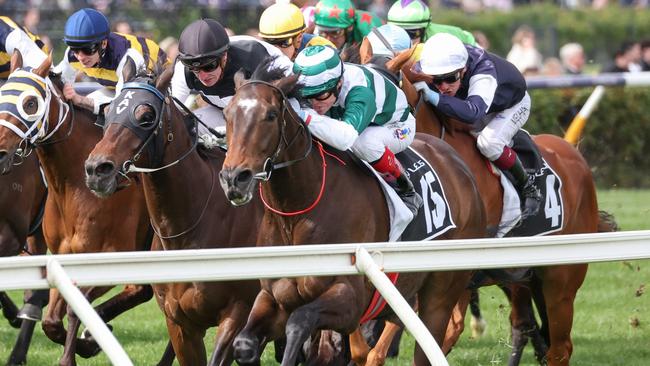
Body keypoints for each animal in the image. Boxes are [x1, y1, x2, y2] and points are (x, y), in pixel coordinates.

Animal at [0, 53, 156, 364]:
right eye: (1, 97)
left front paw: (84, 344)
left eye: (30, 103)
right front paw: (86, 341)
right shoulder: (63, 255)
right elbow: (53, 319)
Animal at [218, 60, 486, 364]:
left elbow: (300, 321)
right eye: (227, 113)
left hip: (441, 293)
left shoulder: (351, 300)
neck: (295, 213)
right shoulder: (274, 297)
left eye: (271, 115)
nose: (234, 178)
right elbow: (245, 343)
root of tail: (459, 164)